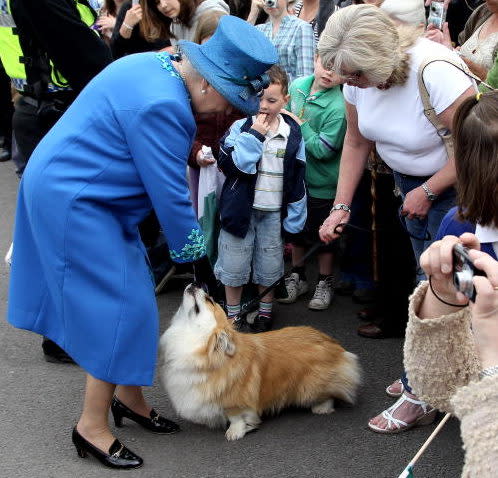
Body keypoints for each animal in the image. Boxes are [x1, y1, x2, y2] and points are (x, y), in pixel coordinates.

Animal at [160, 284, 362, 440]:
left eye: (209, 299)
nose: (194, 284)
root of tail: (333, 344)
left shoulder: (234, 400)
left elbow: (236, 417)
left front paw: (235, 433)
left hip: (310, 387)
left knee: (331, 394)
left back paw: (321, 408)